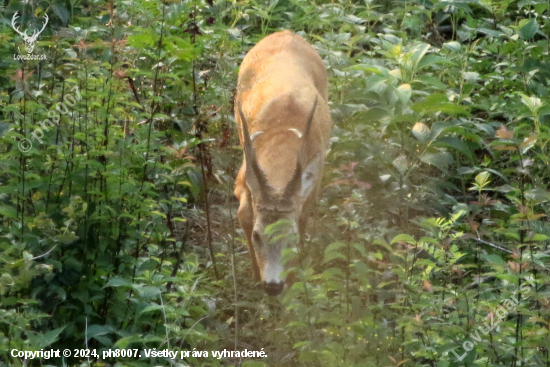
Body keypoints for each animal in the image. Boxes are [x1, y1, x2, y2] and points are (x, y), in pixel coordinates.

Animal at [234, 30, 332, 296]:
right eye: (257, 236)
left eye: (292, 238)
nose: (273, 285)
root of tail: (285, 33)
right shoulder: (244, 176)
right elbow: (244, 214)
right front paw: (255, 274)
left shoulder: (312, 187)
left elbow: (303, 221)